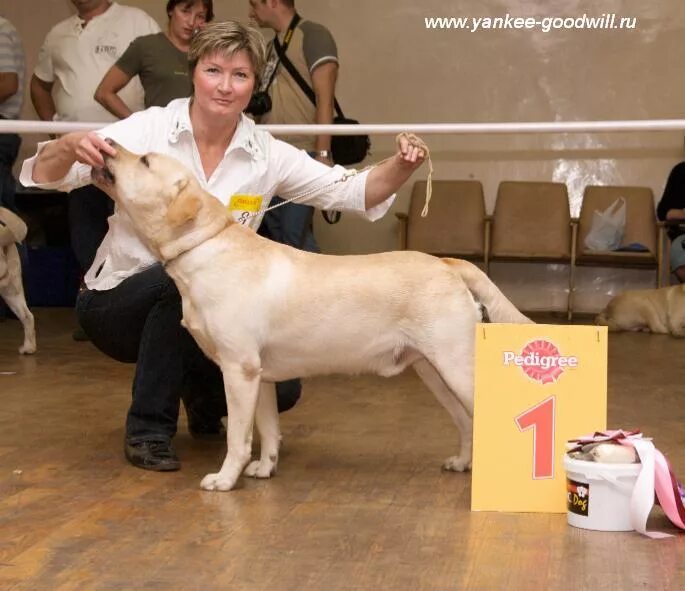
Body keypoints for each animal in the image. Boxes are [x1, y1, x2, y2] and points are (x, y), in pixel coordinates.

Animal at [92, 141, 528, 492]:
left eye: (145, 160)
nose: (107, 143)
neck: (206, 248)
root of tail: (447, 263)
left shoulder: (239, 370)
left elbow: (238, 437)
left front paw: (225, 479)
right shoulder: (260, 375)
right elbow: (268, 429)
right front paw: (264, 468)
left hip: (456, 366)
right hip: (433, 371)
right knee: (467, 422)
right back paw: (463, 462)